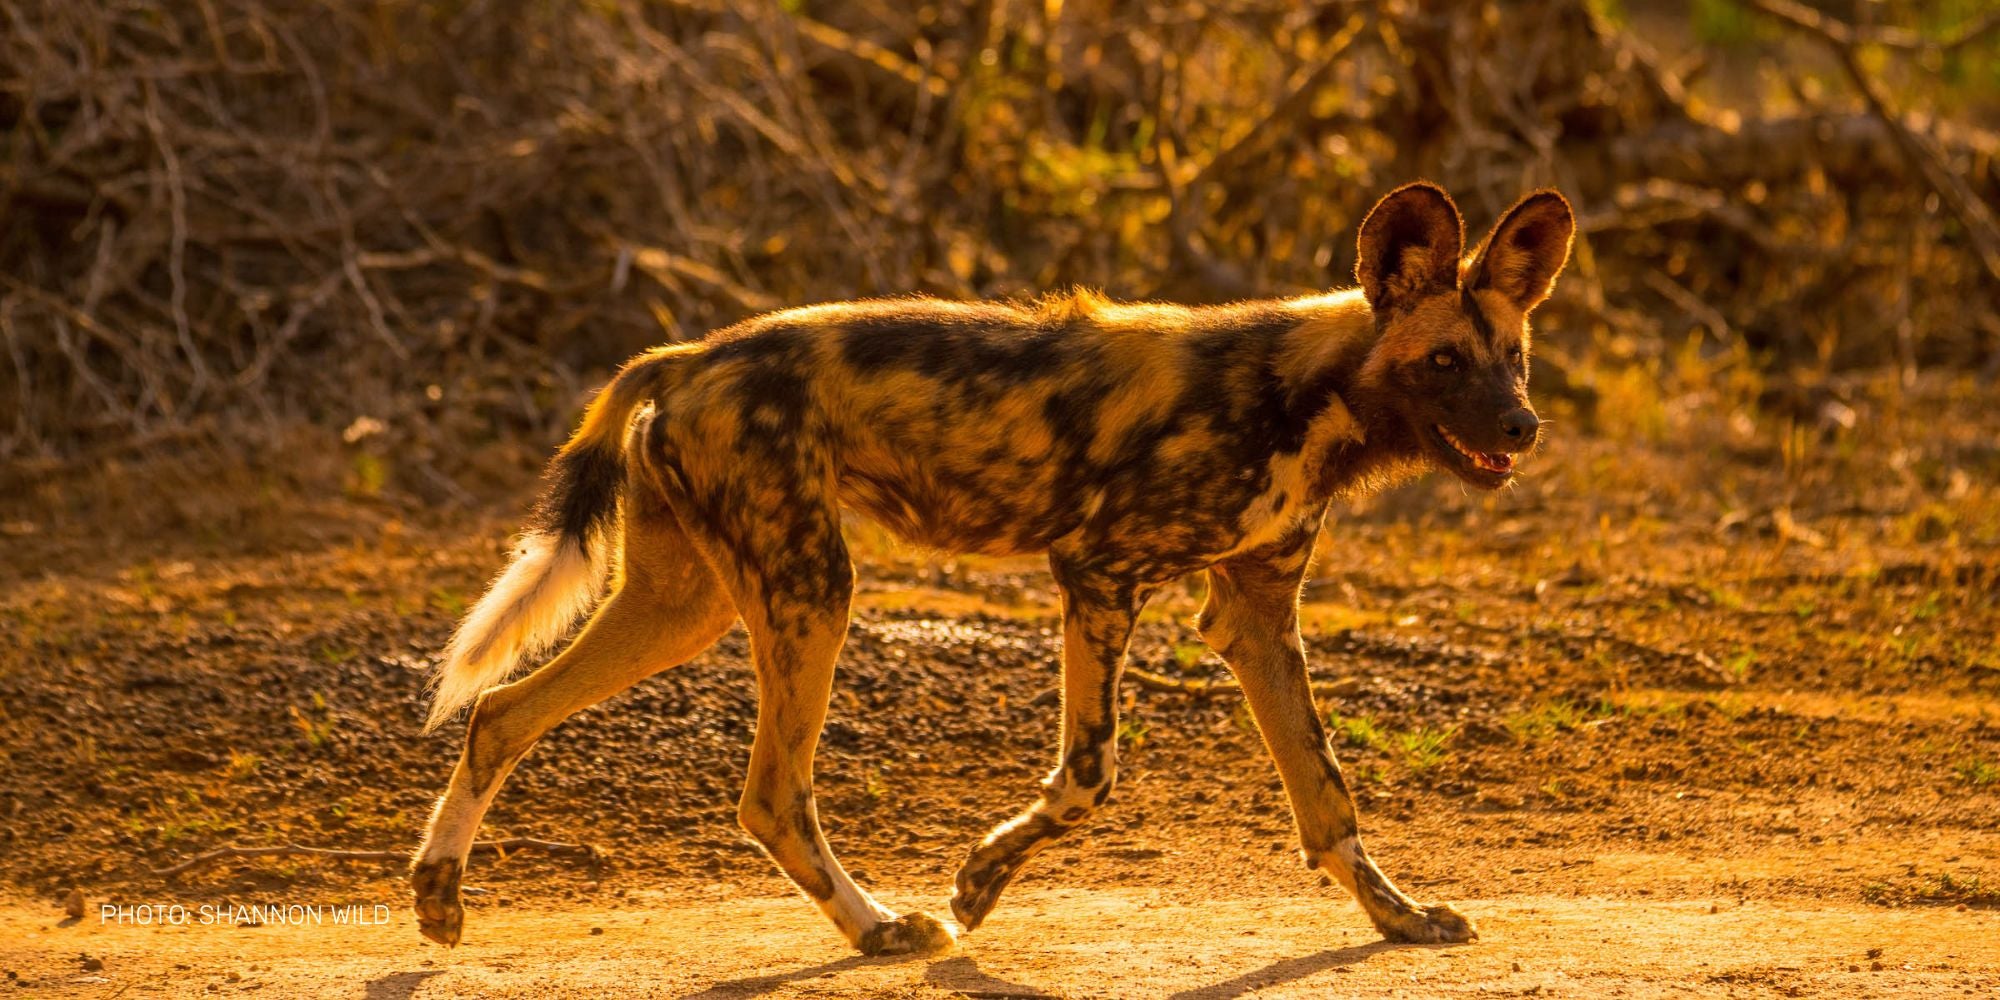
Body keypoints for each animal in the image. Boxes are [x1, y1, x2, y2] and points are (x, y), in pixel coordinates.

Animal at [414, 184, 1576, 956]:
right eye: (1444, 361)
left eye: (1514, 359)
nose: (1523, 428)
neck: (1303, 391)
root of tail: (689, 354)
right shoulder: (1097, 574)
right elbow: (1089, 776)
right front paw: (977, 882)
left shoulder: (1254, 613)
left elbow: (1327, 795)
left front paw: (1398, 917)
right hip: (810, 591)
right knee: (771, 793)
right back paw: (885, 928)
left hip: (684, 604)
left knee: (503, 712)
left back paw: (438, 895)